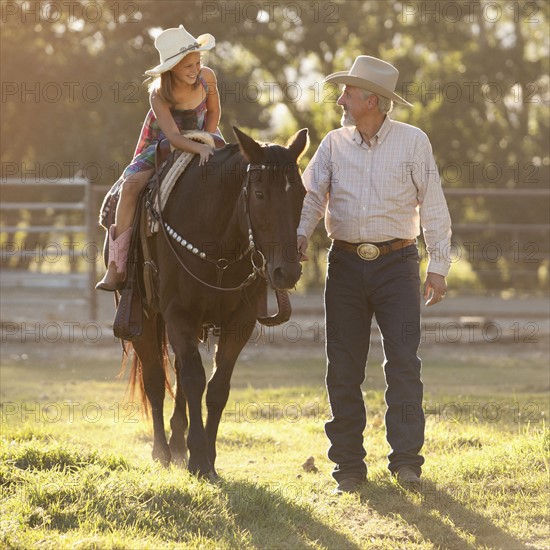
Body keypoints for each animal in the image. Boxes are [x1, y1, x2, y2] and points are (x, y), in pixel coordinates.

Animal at [130, 128, 310, 478]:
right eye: (259, 193)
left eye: (302, 194)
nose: (287, 271)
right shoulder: (179, 315)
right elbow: (194, 380)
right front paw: (198, 458)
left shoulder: (240, 322)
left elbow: (216, 387)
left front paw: (207, 459)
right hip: (144, 317)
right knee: (156, 378)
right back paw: (161, 450)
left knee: (178, 370)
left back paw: (177, 444)